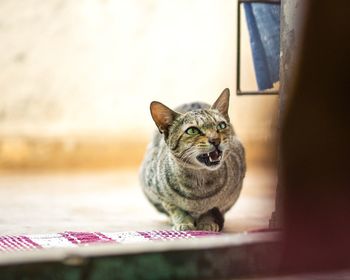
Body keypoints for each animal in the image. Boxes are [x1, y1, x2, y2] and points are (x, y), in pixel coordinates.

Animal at [139, 89, 246, 232]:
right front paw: (183, 221)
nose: (215, 140)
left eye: (221, 125)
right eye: (192, 130)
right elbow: (174, 208)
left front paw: (207, 222)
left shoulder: (232, 194)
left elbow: (213, 208)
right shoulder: (158, 191)